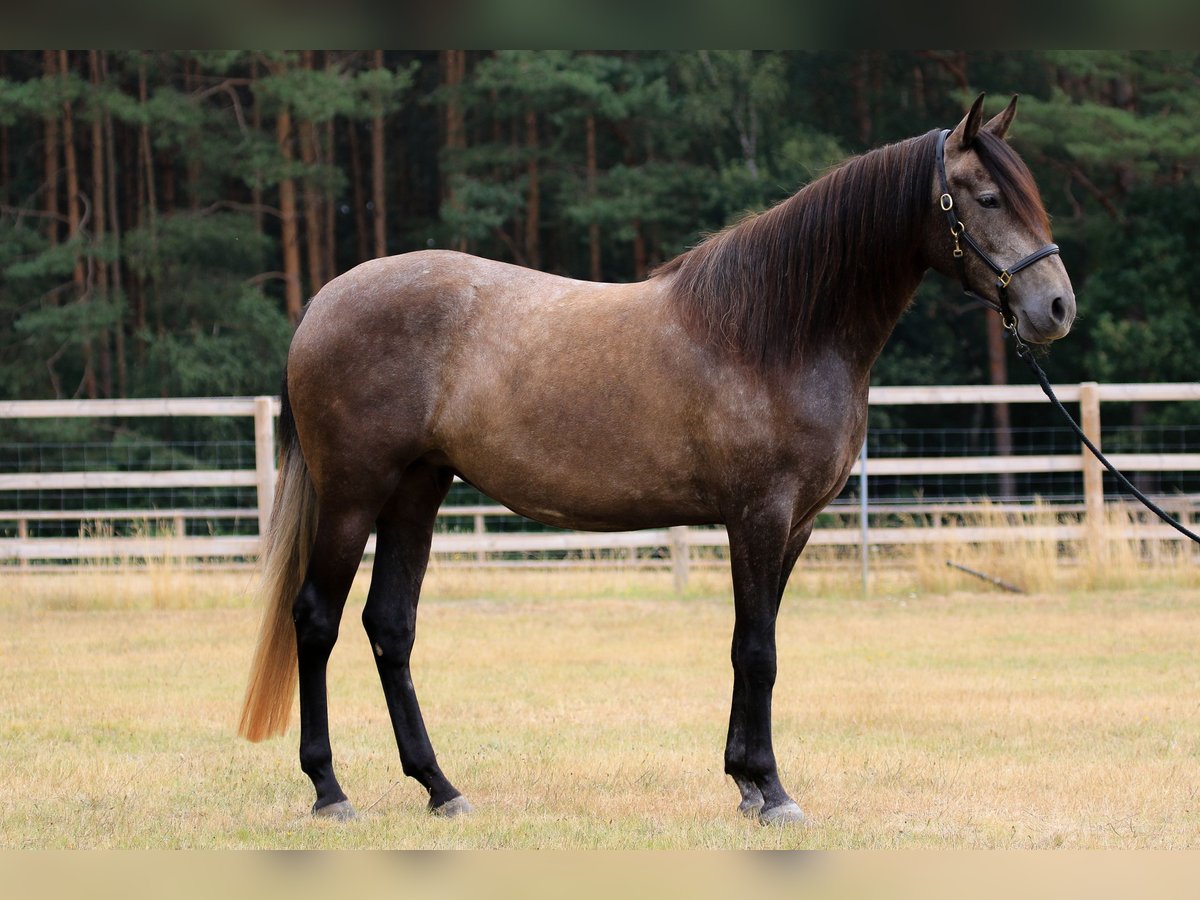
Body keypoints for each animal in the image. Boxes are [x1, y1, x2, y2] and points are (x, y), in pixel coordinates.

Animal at [238, 94, 1075, 825]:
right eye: (986, 197)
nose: (1057, 308)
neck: (775, 333)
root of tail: (322, 303)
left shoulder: (796, 525)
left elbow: (751, 642)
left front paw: (745, 782)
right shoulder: (758, 516)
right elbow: (758, 650)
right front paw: (771, 790)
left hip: (418, 489)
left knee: (391, 626)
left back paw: (441, 789)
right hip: (355, 493)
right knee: (317, 620)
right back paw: (330, 790)